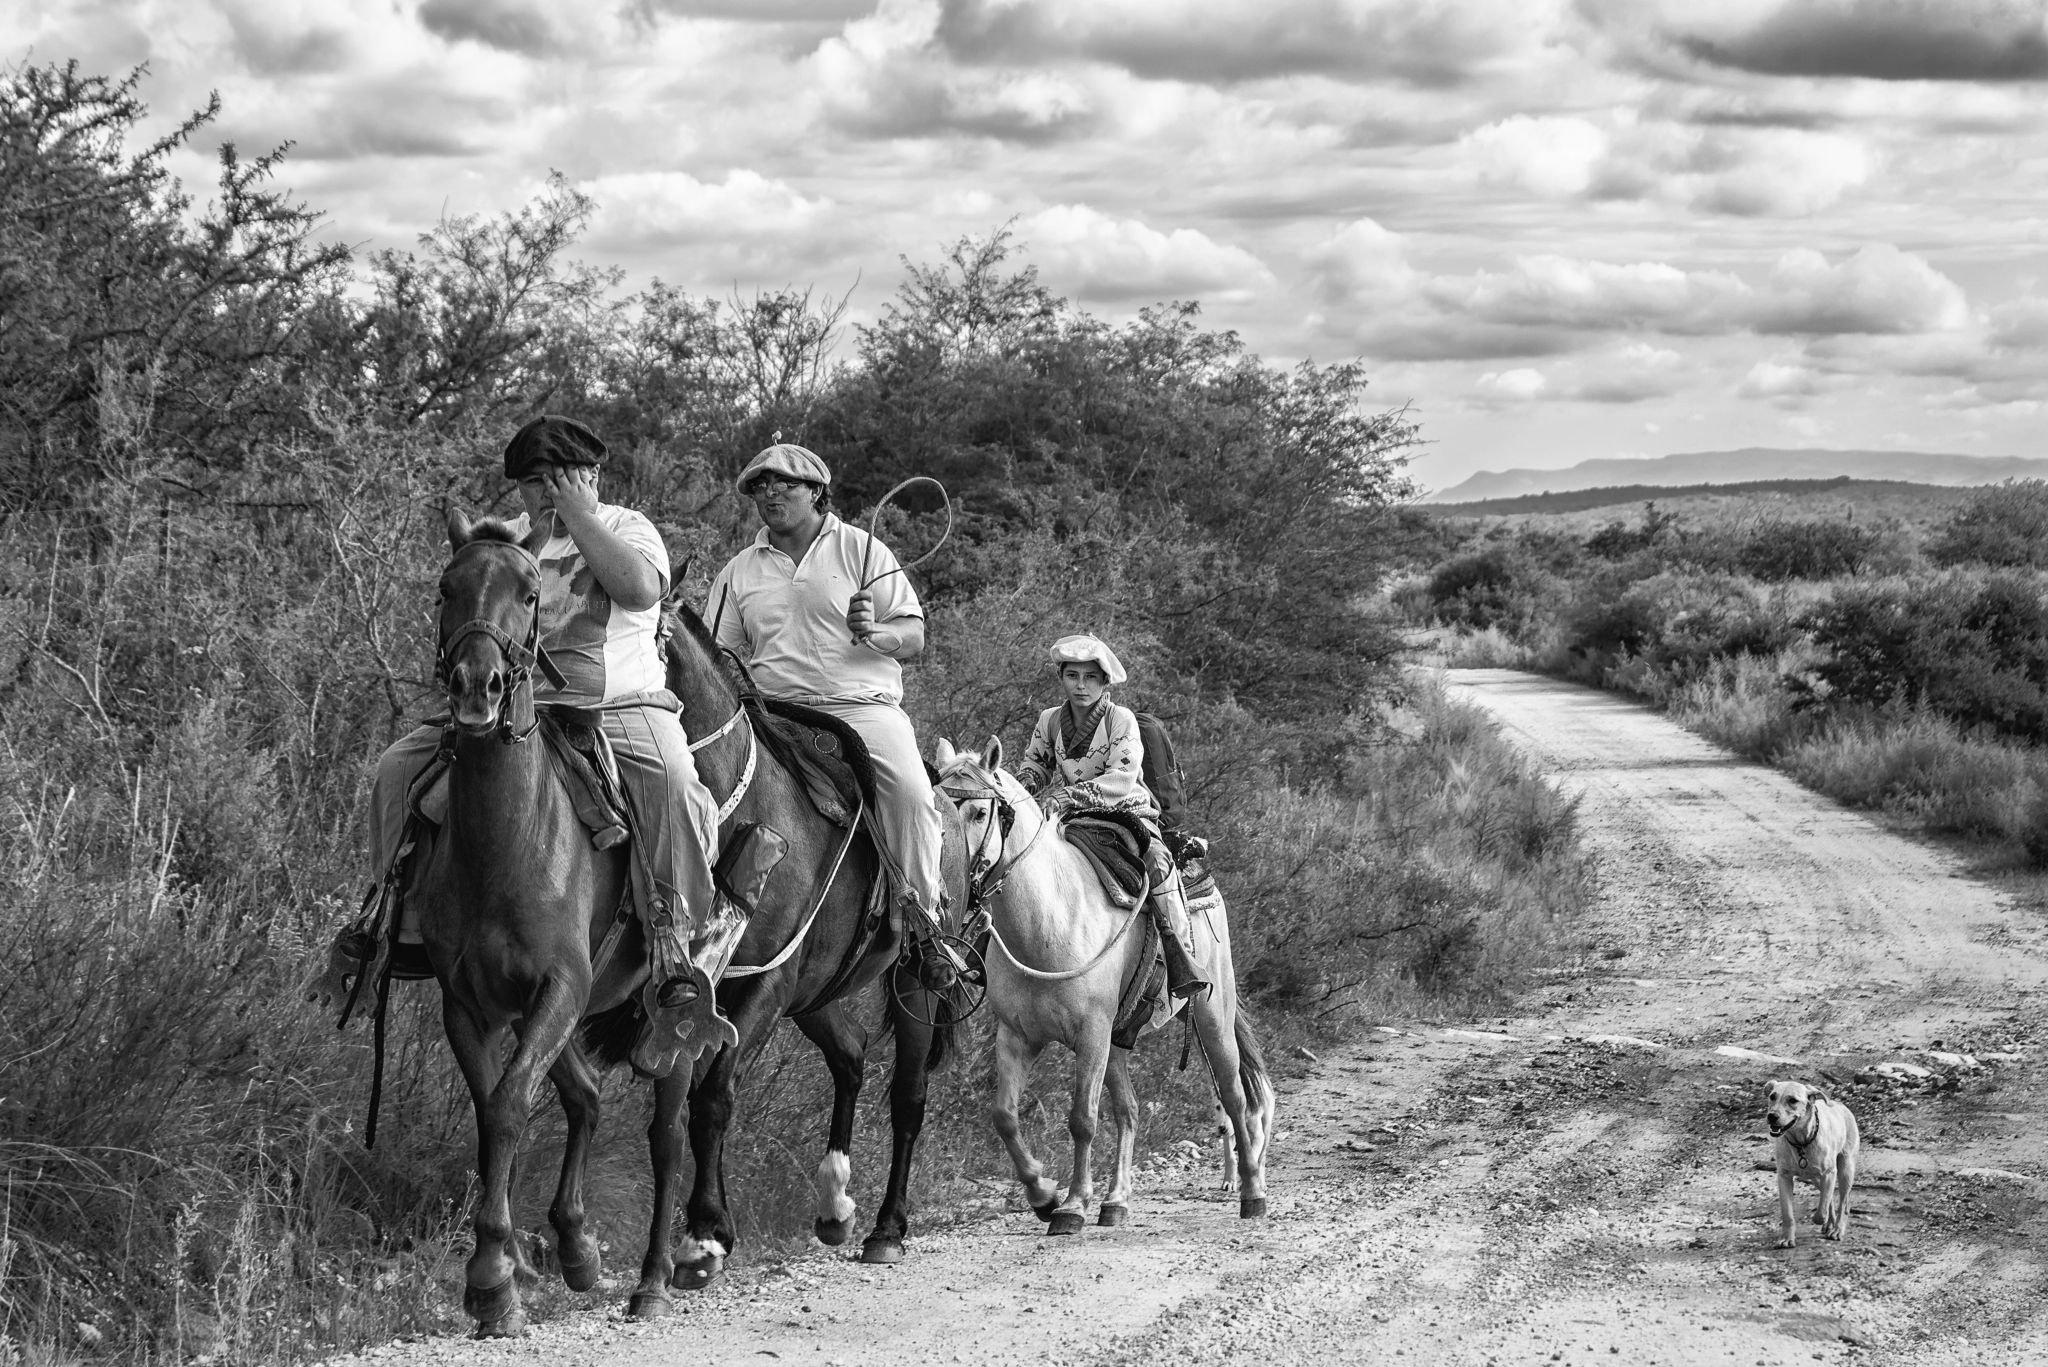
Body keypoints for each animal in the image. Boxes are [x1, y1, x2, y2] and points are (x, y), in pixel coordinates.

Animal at [421, 512, 958, 1336]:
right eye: (446, 588)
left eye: (530, 591)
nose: (477, 686)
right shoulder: (491, 1000)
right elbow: (529, 1101)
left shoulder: (752, 988)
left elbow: (706, 1103)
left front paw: (702, 1236)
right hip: (815, 996)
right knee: (848, 1058)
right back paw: (831, 1204)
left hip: (908, 988)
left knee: (905, 1095)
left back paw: (885, 1228)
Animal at [933, 741, 1261, 1237]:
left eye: (978, 812)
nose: (946, 883)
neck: (1050, 921)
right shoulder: (1017, 1036)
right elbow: (1004, 1116)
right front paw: (1043, 1195)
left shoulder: (1090, 1034)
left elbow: (1082, 1120)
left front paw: (1070, 1206)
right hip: (1118, 1039)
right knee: (1130, 1109)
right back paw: (1116, 1201)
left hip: (1211, 1014)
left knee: (1234, 1094)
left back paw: (1252, 1192)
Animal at [1761, 1082, 1859, 1254]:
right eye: (1772, 1096)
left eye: (1793, 1100)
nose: (1771, 1116)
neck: (1801, 1143)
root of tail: (1841, 1105)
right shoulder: (1784, 1177)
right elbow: (1787, 1213)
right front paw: (1787, 1238)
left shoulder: (1829, 1173)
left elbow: (1822, 1209)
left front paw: (1821, 1219)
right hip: (1815, 1179)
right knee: (1830, 1198)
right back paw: (1830, 1224)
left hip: (1845, 1168)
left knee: (1843, 1202)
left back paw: (1837, 1229)